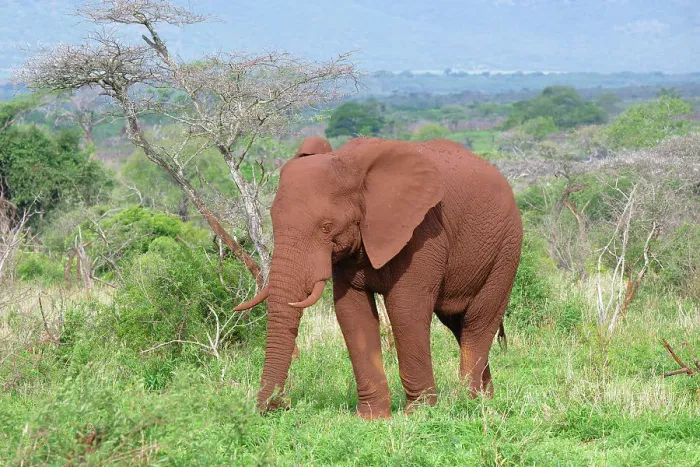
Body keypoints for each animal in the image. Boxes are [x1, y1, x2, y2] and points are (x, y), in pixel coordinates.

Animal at [235, 136, 523, 419]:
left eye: (326, 227)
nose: (280, 405)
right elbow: (351, 312)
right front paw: (371, 417)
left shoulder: (423, 232)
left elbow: (405, 308)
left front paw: (418, 415)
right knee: (457, 324)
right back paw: (486, 400)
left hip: (506, 250)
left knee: (477, 324)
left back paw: (467, 403)